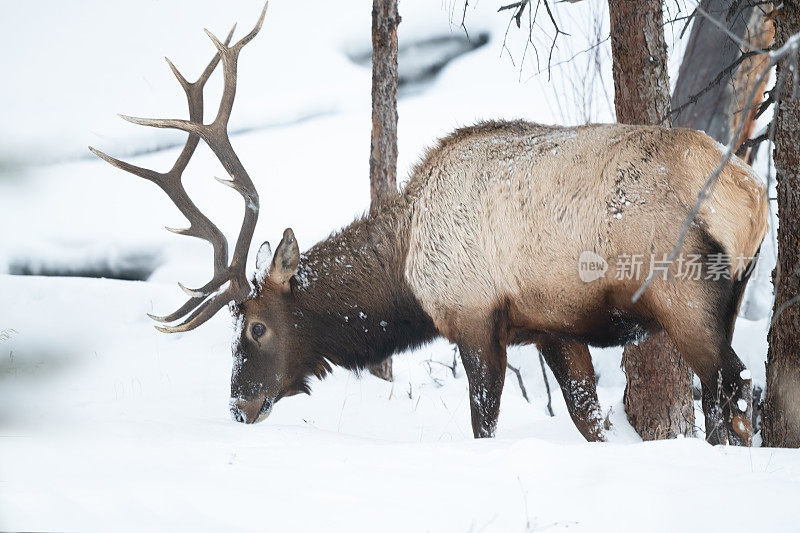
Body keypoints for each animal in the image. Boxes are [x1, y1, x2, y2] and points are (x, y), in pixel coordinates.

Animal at [90, 3, 764, 444]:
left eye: (255, 326)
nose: (240, 406)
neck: (406, 274)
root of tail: (752, 196)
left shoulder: (473, 316)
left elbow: (483, 422)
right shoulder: (552, 326)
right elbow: (588, 419)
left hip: (685, 295)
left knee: (730, 392)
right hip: (729, 292)